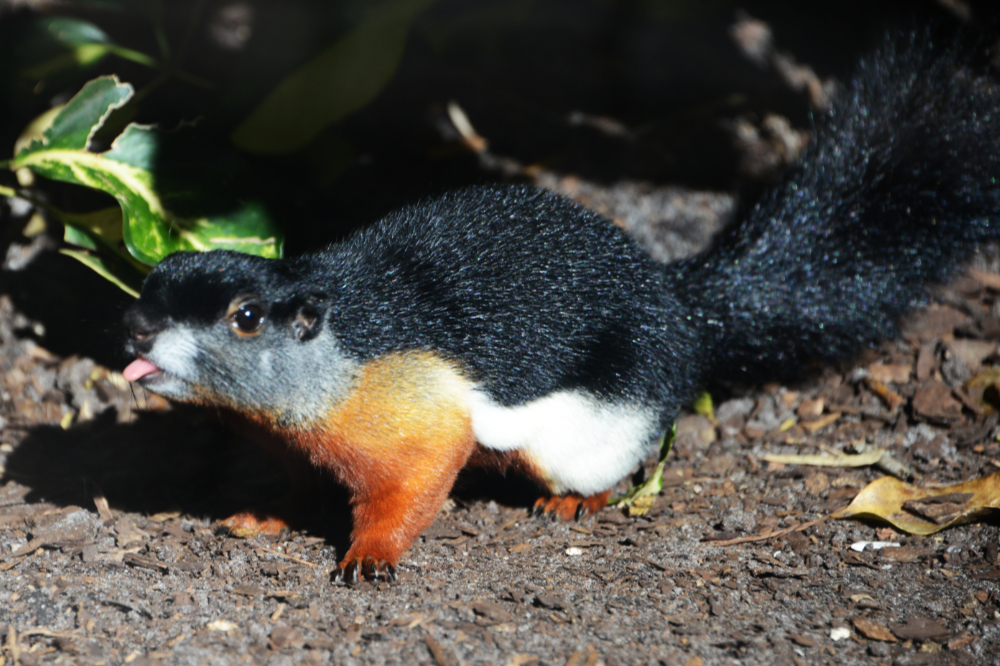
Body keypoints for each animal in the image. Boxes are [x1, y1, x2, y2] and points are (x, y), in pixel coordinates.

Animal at [123, 32, 1000, 583]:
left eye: (245, 317)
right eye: (150, 275)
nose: (135, 329)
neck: (331, 356)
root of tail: (682, 307)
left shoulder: (414, 416)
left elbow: (409, 491)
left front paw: (371, 555)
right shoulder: (302, 445)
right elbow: (301, 486)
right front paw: (260, 517)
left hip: (589, 432)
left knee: (602, 469)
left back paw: (571, 503)